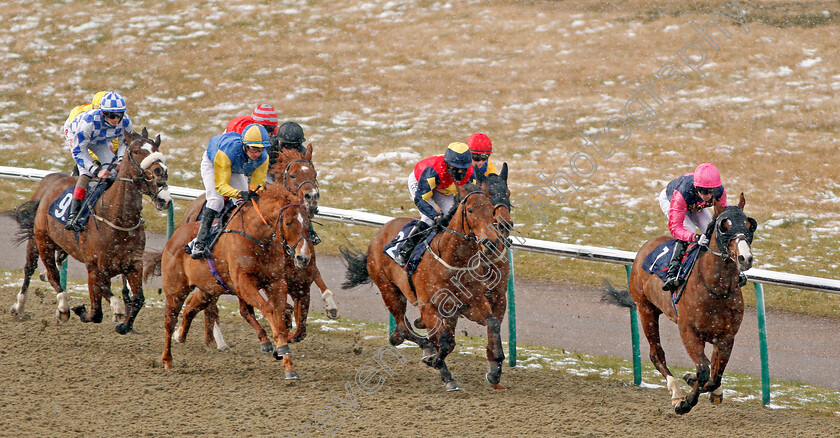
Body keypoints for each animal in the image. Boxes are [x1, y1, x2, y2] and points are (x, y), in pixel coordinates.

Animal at [6, 128, 169, 334]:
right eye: (137, 151)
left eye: (157, 150)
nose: (161, 173)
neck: (117, 219)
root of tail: (49, 181)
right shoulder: (94, 267)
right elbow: (96, 313)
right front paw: (81, 310)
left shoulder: (133, 265)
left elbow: (137, 299)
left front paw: (124, 325)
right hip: (41, 241)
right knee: (41, 271)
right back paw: (45, 307)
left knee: (54, 272)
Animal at [159, 181, 314, 380]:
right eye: (288, 222)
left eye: (307, 223)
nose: (303, 257)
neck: (258, 237)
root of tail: (175, 236)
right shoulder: (243, 283)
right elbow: (269, 310)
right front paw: (280, 348)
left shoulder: (276, 282)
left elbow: (279, 315)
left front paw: (288, 364)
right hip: (175, 290)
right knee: (169, 322)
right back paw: (167, 359)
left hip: (209, 289)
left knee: (191, 307)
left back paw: (181, 335)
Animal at [342, 183, 506, 392]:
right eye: (470, 210)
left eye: (492, 210)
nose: (490, 243)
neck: (452, 260)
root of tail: (378, 235)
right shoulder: (429, 307)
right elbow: (444, 342)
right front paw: (440, 368)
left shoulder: (471, 304)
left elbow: (492, 323)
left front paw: (495, 372)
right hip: (389, 291)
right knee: (402, 330)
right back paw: (427, 349)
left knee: (408, 332)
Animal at [632, 194, 756, 414]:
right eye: (724, 226)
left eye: (750, 225)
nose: (745, 258)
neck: (716, 290)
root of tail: (647, 245)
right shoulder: (688, 331)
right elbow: (704, 371)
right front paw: (685, 402)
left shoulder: (726, 337)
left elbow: (714, 376)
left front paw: (696, 382)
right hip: (645, 308)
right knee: (656, 354)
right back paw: (675, 393)